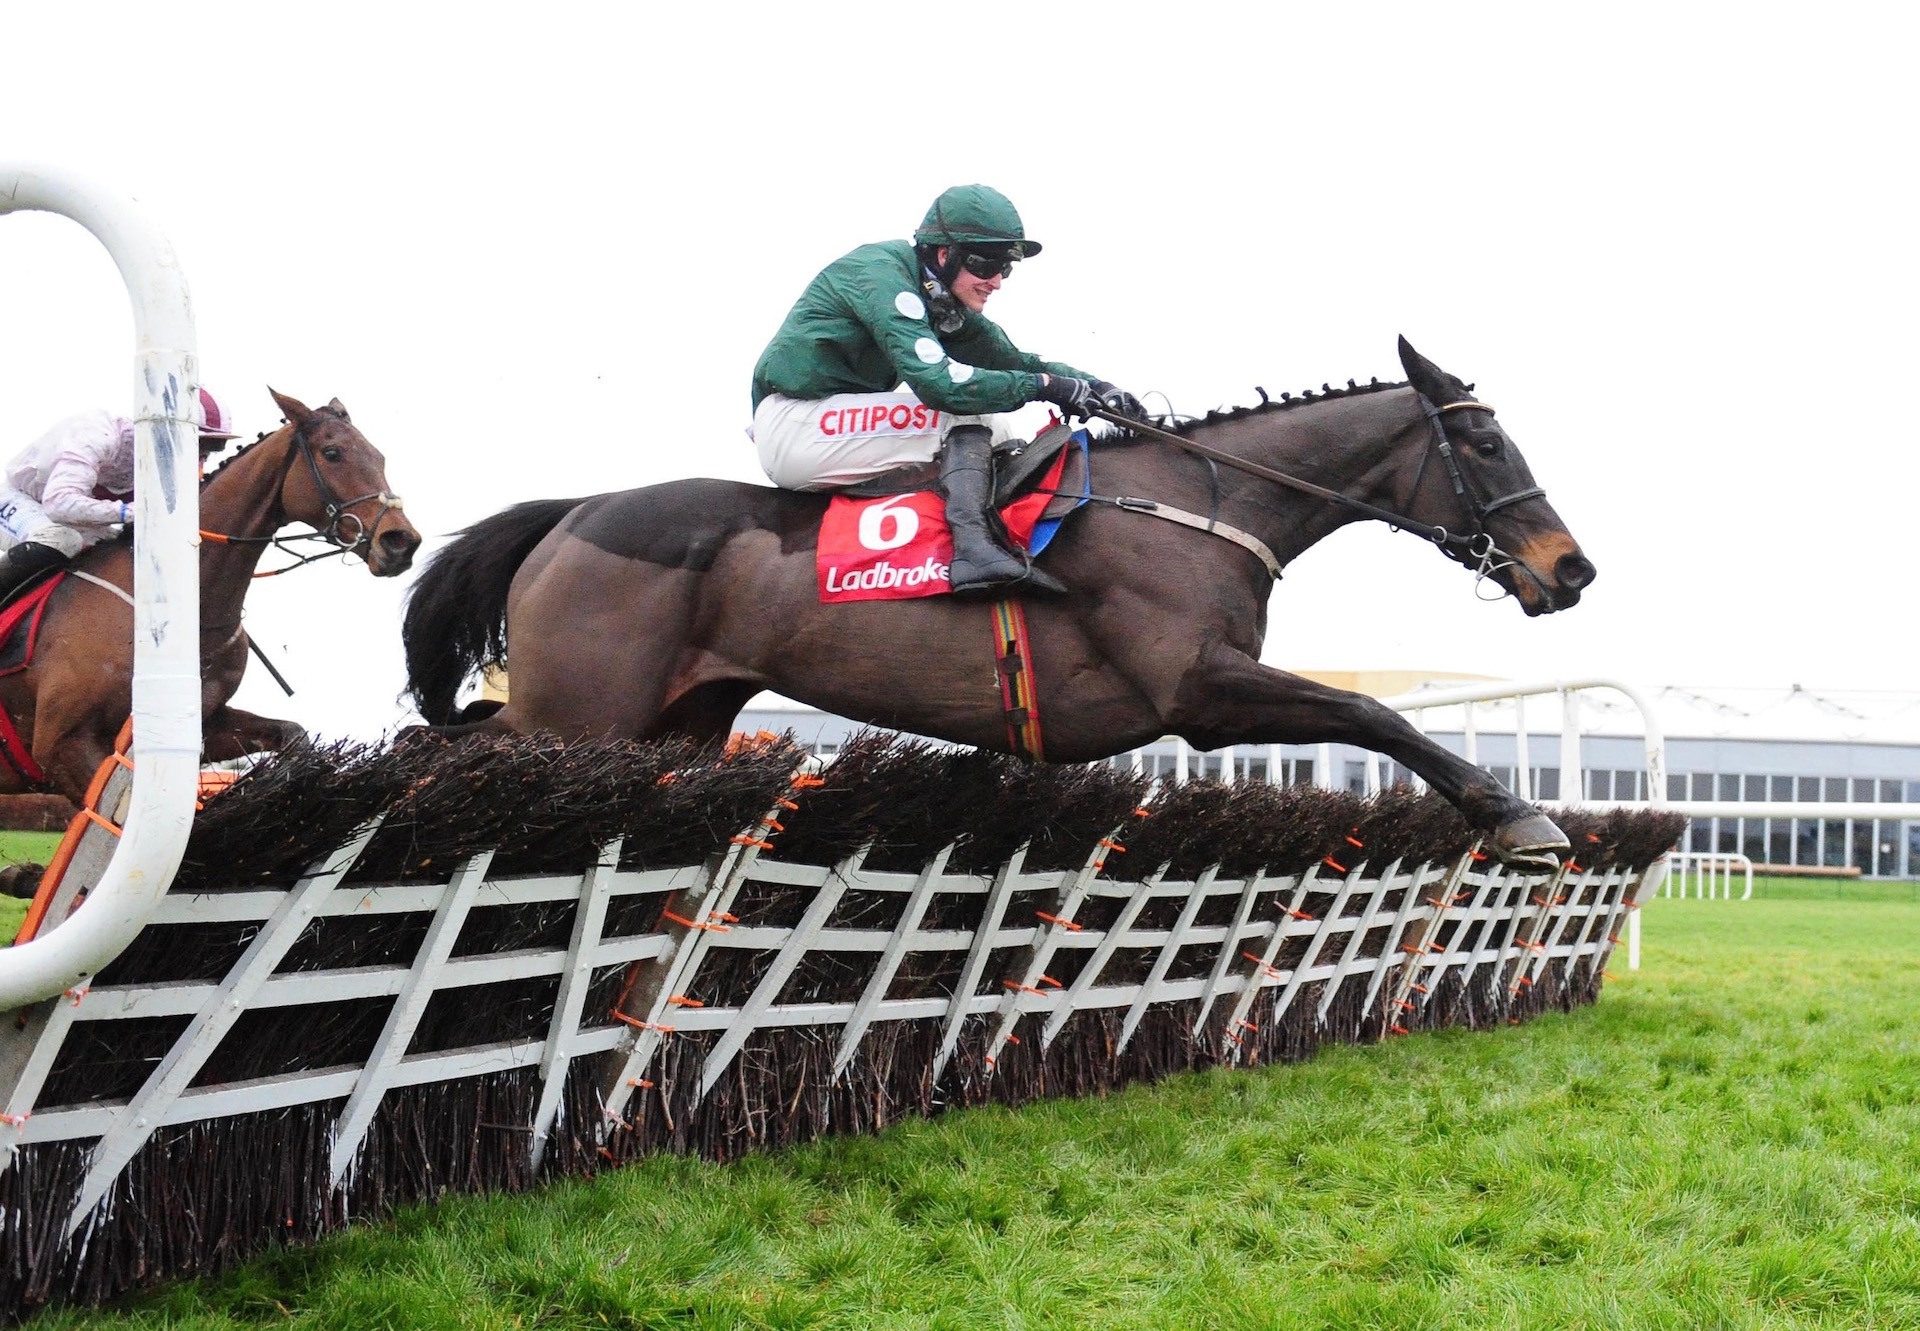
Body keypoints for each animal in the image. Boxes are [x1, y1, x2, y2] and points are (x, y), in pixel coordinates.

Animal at [0, 386, 422, 798]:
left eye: (379, 456)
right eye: (332, 453)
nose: (401, 541)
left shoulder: (205, 721)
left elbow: (292, 735)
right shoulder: (63, 747)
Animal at [401, 332, 1589, 852]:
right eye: (1485, 441)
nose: (1569, 567)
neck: (1200, 501)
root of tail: (574, 512)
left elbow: (1369, 712)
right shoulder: (1197, 688)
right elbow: (1373, 710)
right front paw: (1516, 812)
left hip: (674, 723)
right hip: (581, 710)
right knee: (443, 746)